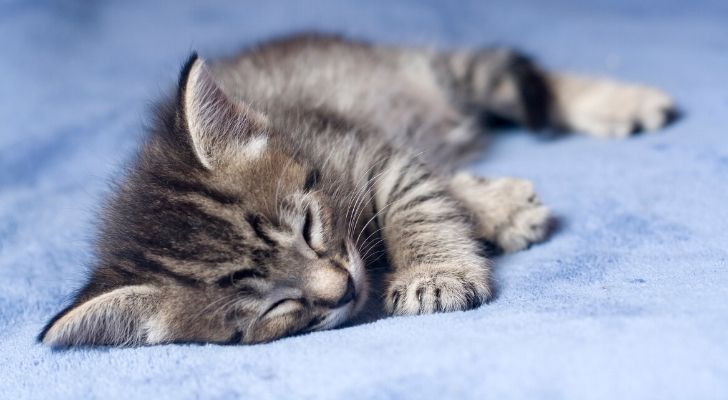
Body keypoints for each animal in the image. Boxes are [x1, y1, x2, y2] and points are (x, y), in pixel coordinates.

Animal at [39, 33, 676, 346]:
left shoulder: (375, 153)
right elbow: (443, 186)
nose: (342, 288)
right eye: (276, 306)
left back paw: (621, 103)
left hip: (436, 73)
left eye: (307, 227)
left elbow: (420, 200)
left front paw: (436, 273)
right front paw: (495, 207)